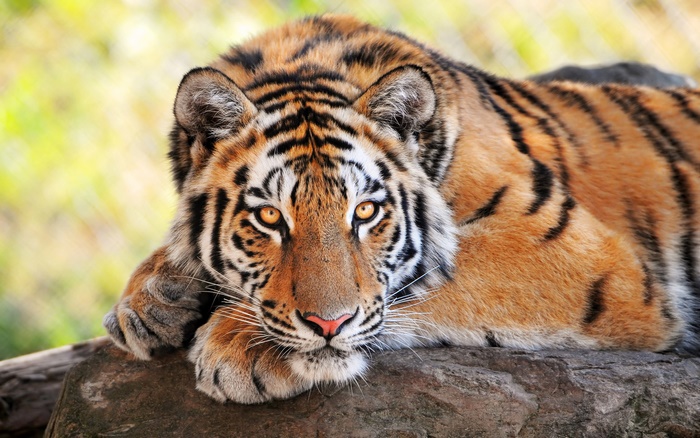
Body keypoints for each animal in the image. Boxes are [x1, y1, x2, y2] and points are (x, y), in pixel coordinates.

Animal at [103, 15, 700, 404]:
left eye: (365, 212)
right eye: (270, 217)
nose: (328, 324)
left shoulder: (579, 254)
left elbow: (425, 280)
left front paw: (239, 344)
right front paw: (152, 299)